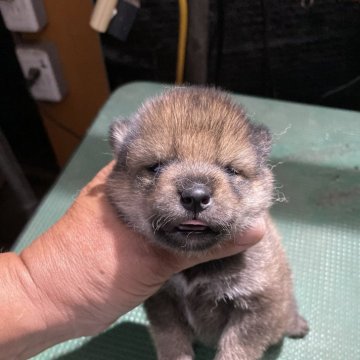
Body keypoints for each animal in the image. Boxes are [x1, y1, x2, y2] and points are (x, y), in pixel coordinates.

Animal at [105, 88, 308, 360]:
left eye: (231, 170)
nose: (195, 196)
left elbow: (237, 347)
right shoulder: (162, 301)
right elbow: (171, 339)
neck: (198, 265)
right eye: (155, 167)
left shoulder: (257, 304)